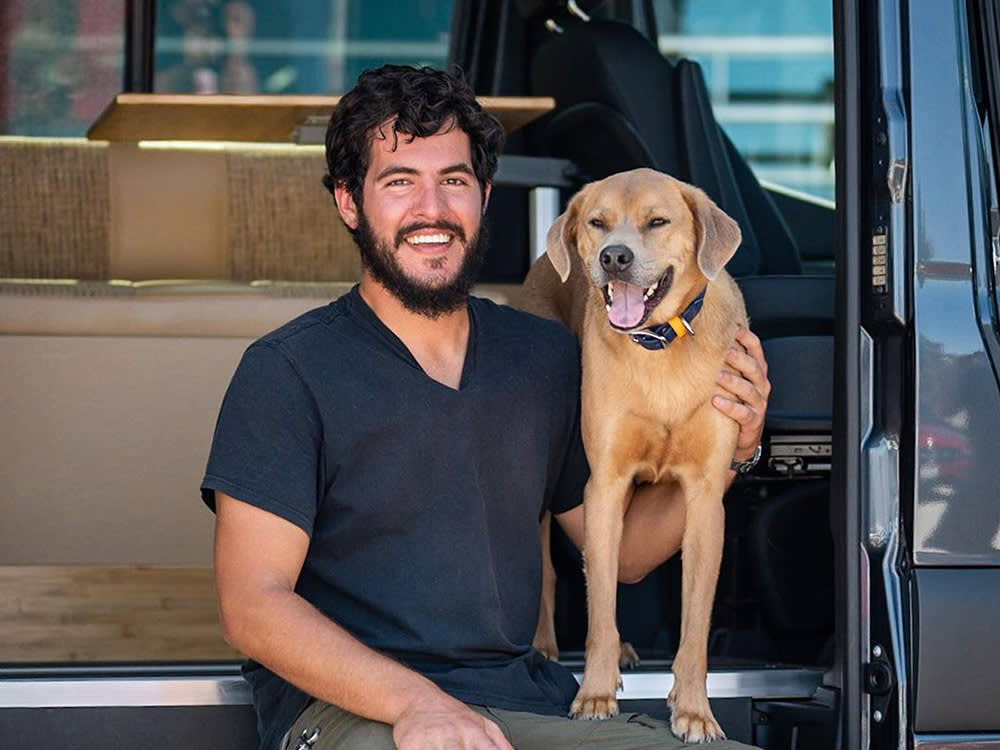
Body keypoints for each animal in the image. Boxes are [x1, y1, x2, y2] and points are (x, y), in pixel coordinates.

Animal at [520, 169, 748, 740]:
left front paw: (694, 709)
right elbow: (598, 608)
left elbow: (694, 626)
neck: (659, 347)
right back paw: (544, 646)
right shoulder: (604, 483)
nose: (614, 257)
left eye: (658, 221)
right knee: (556, 573)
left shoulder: (705, 498)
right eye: (597, 223)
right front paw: (595, 694)